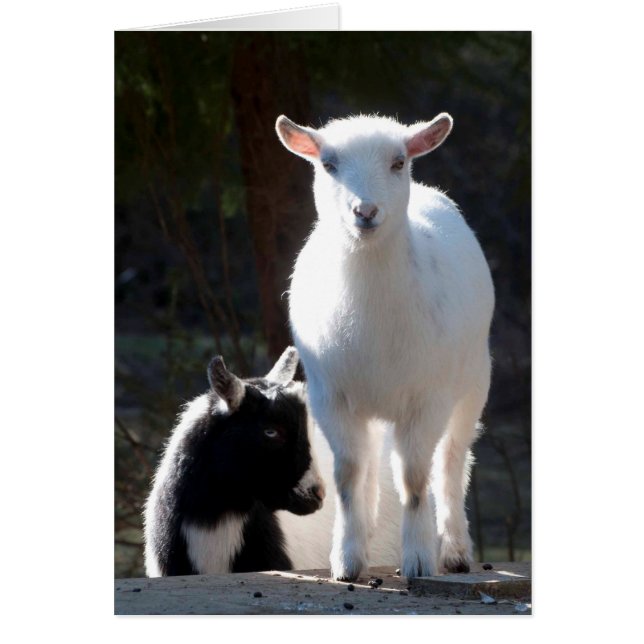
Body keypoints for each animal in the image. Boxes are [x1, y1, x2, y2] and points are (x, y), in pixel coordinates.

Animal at [276, 113, 494, 580]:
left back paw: (455, 549)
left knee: (452, 460)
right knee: (373, 462)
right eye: (328, 164)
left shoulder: (426, 397)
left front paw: (418, 559)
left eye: (398, 162)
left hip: (473, 383)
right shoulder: (330, 395)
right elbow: (348, 473)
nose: (366, 211)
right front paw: (346, 558)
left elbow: (414, 478)